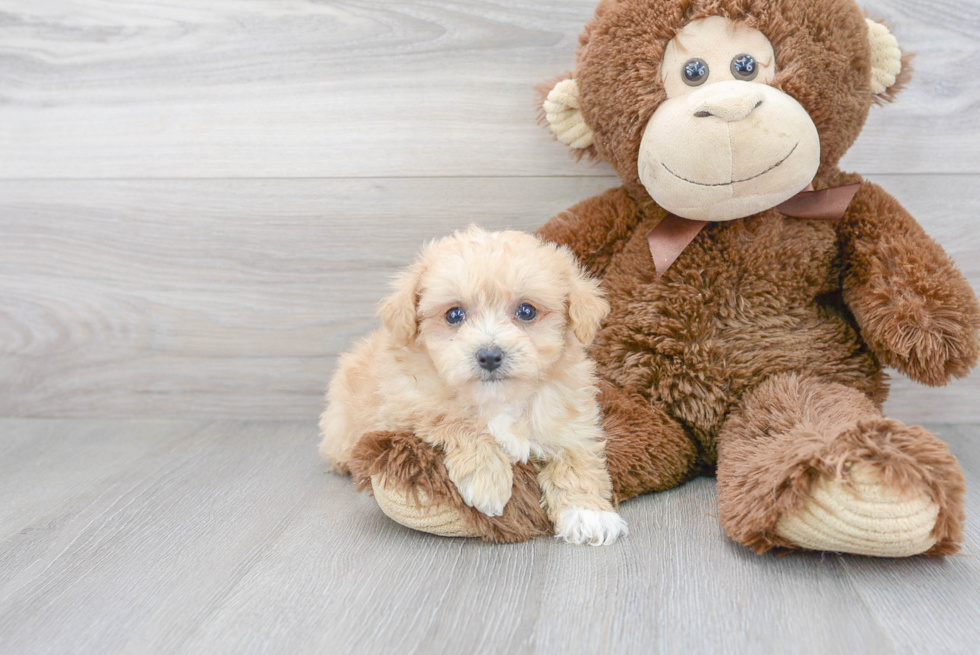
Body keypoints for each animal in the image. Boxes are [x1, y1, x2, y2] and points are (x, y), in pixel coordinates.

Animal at [320, 228, 628, 544]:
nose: (490, 356)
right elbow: (457, 420)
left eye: (527, 311)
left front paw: (587, 513)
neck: (498, 399)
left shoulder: (571, 417)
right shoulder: (405, 405)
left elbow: (577, 456)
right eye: (454, 314)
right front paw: (487, 480)